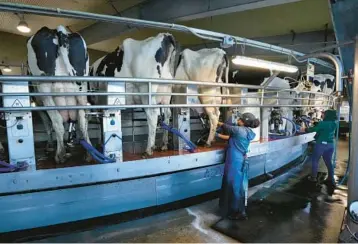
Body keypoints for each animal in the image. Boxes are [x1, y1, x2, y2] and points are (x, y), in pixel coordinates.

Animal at [28, 25, 92, 164]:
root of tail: (57, 30)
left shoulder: (39, 106)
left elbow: (48, 125)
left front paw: (50, 146)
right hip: (82, 86)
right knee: (82, 119)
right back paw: (88, 153)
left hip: (45, 89)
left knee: (56, 121)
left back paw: (60, 154)